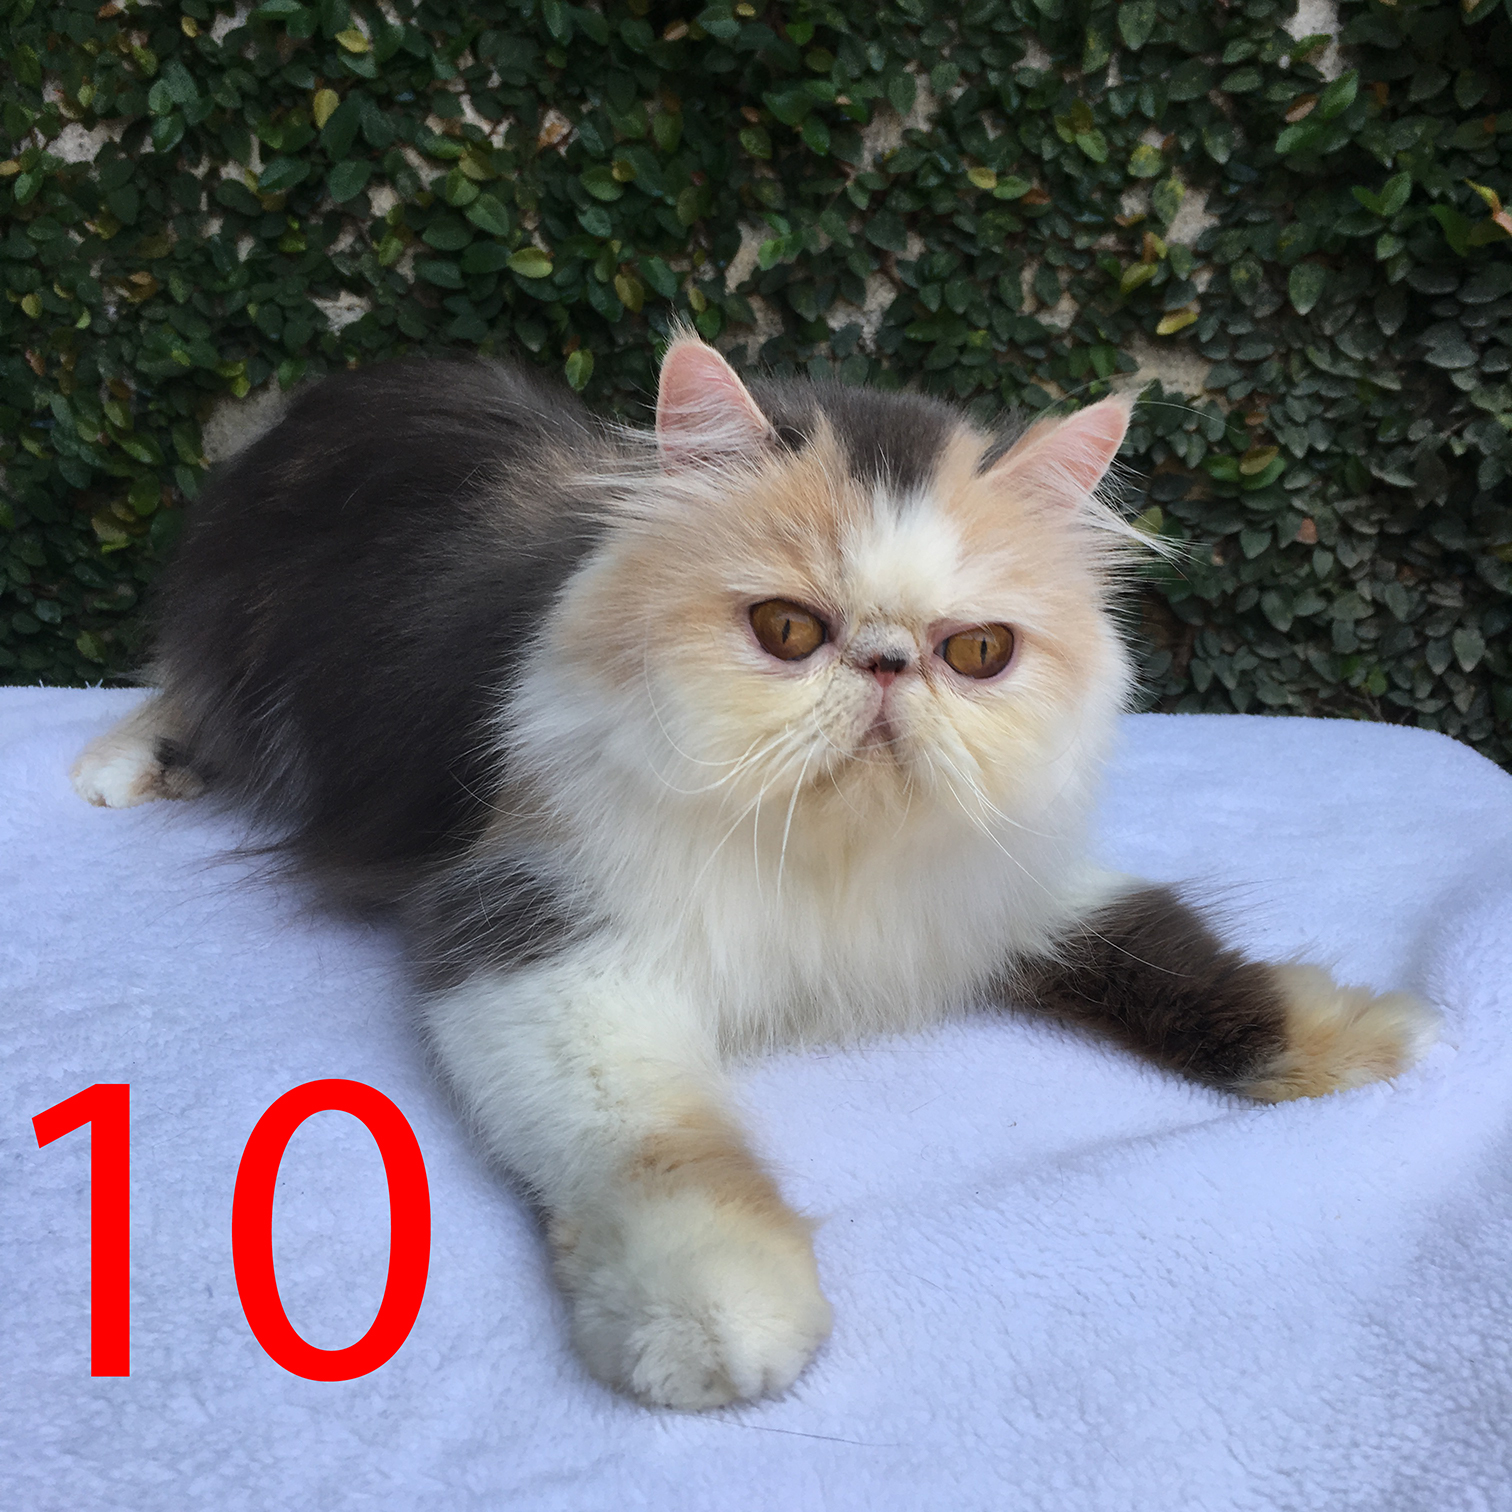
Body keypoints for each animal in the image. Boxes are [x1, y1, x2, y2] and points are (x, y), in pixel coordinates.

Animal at [70, 335, 1437, 1409]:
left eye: (976, 653)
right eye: (788, 631)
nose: (887, 665)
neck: (827, 857)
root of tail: (352, 389)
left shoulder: (1005, 893)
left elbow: (1189, 959)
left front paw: (1366, 1042)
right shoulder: (535, 929)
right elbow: (655, 1145)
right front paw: (716, 1319)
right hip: (238, 653)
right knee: (174, 690)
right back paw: (117, 769)